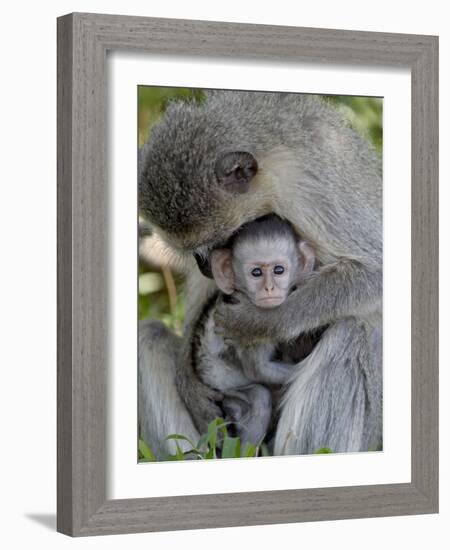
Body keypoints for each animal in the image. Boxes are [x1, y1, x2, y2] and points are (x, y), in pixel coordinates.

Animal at [192, 216, 314, 448]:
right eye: (256, 273)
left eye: (278, 270)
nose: (269, 288)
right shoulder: (249, 326)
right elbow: (259, 370)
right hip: (225, 388)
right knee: (259, 397)